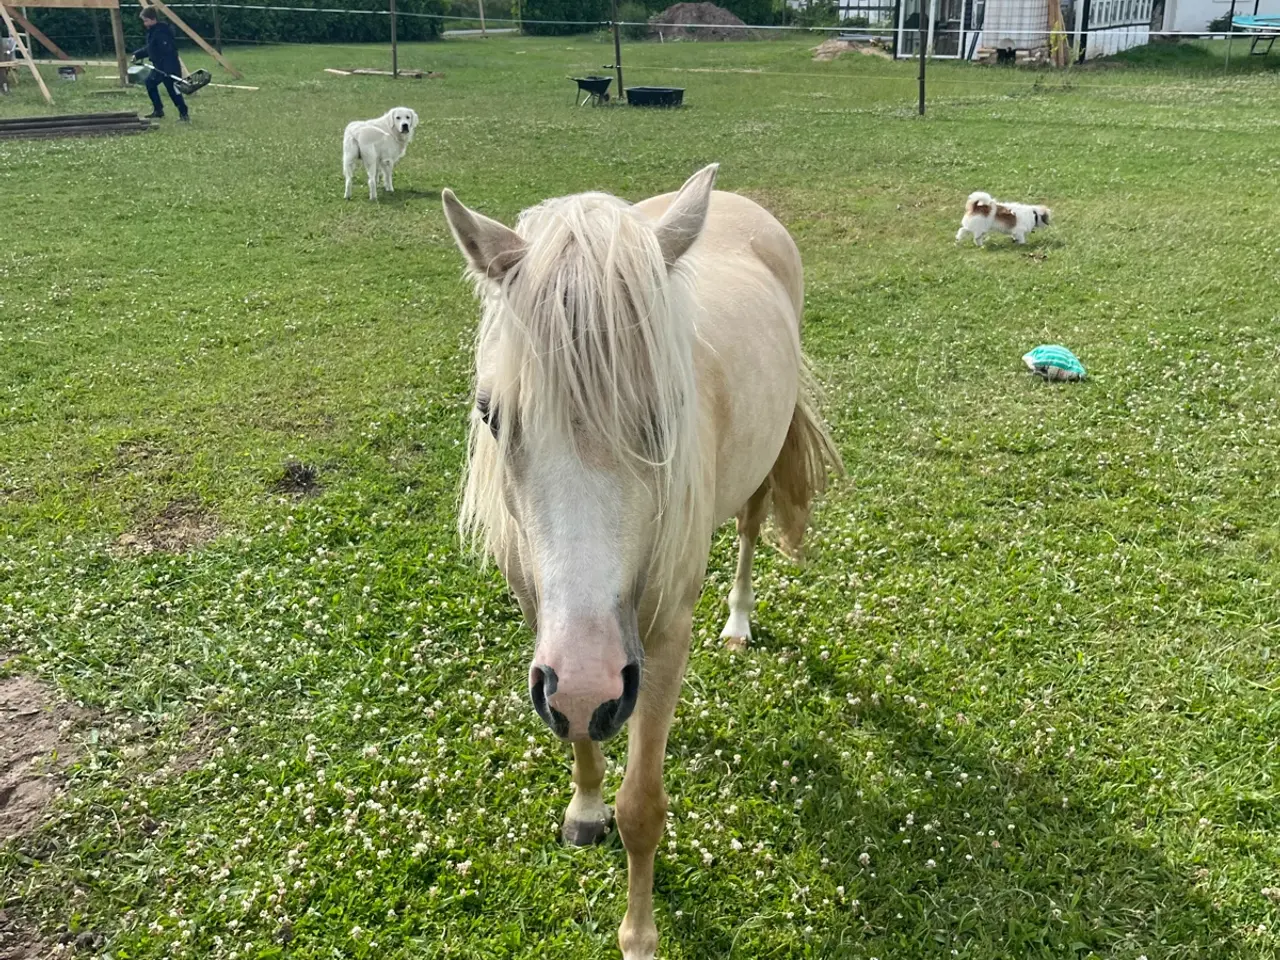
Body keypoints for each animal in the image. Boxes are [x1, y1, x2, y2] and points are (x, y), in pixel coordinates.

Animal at [441, 164, 842, 960]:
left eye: (664, 416)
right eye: (491, 415)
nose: (589, 684)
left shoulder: (659, 643)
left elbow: (643, 808)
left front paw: (639, 936)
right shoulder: (548, 630)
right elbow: (580, 740)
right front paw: (584, 806)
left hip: (754, 481)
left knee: (750, 531)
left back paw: (740, 621)